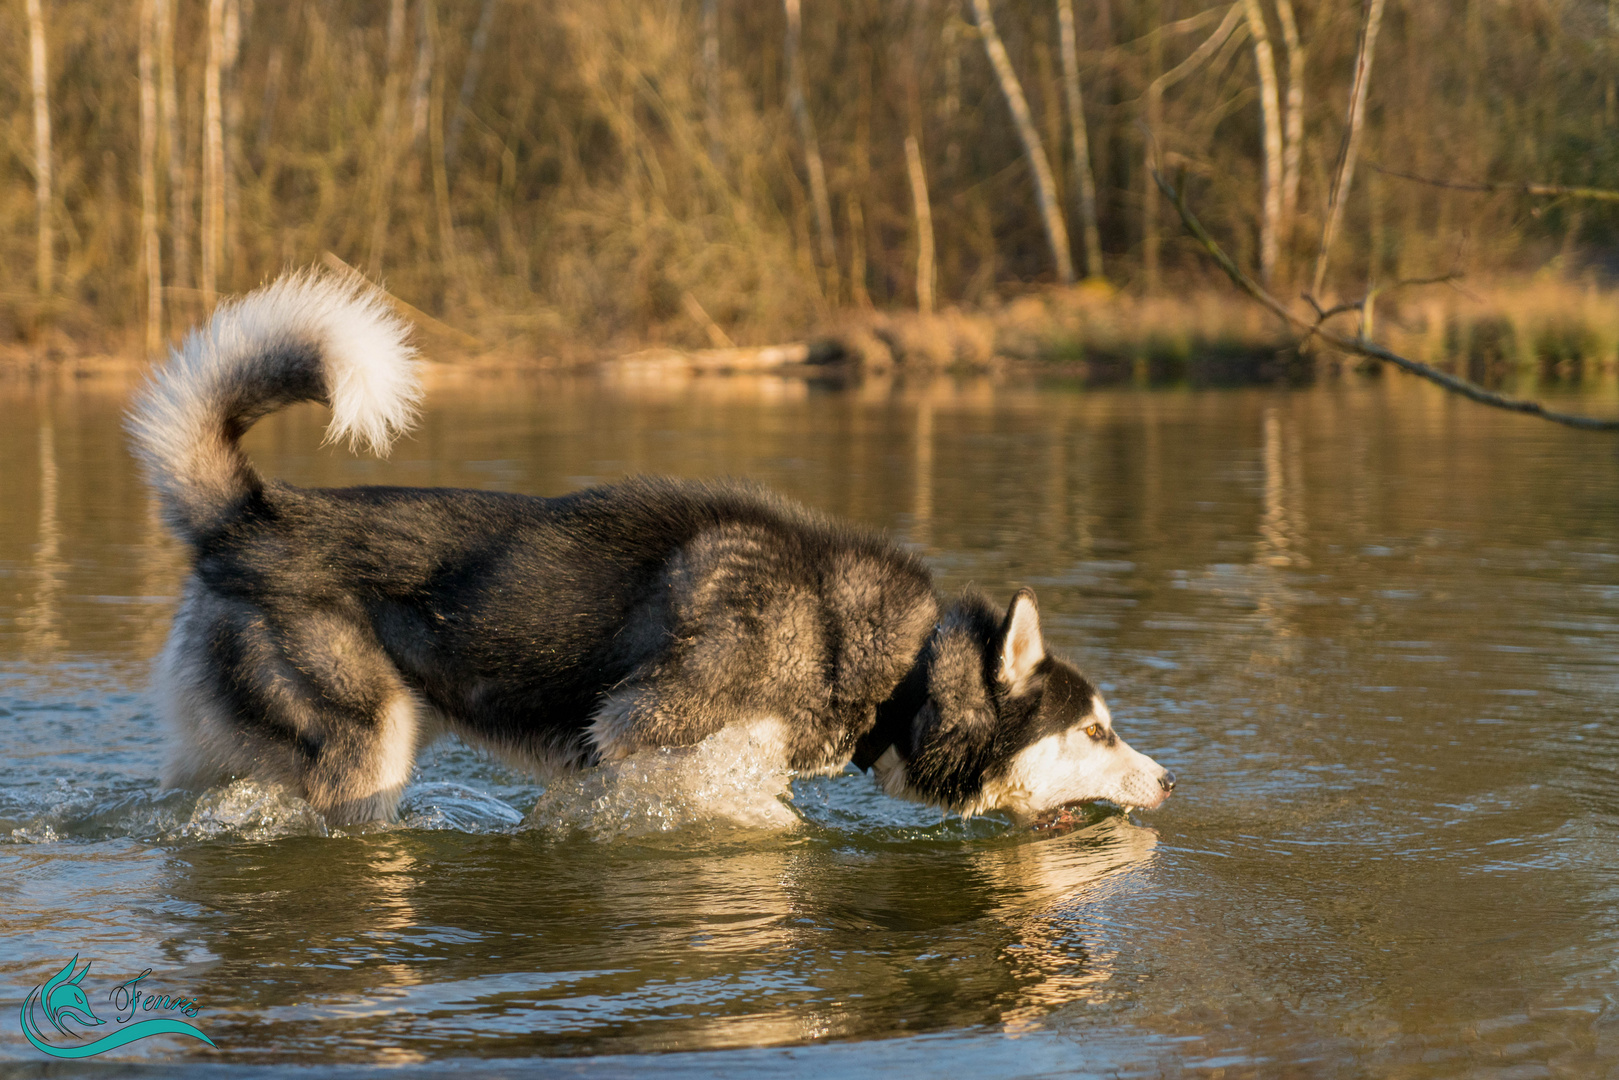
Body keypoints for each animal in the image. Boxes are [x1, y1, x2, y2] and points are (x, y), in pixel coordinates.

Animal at [123, 275, 1165, 822]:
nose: (1167, 778)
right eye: (1095, 731)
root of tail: (249, 513)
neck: (889, 662)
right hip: (362, 751)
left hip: (226, 751)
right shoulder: (644, 739)